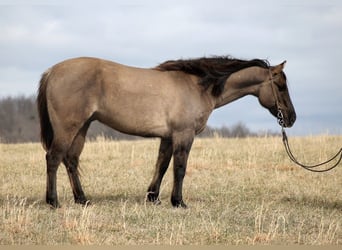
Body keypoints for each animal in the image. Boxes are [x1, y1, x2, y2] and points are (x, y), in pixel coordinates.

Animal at [36, 55, 296, 208]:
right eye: (281, 86)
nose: (291, 118)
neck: (197, 85)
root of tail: (52, 71)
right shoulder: (183, 134)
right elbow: (179, 168)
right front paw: (178, 201)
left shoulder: (168, 137)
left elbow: (161, 165)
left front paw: (153, 197)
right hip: (68, 128)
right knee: (54, 158)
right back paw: (53, 201)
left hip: (82, 127)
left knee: (71, 160)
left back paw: (82, 199)